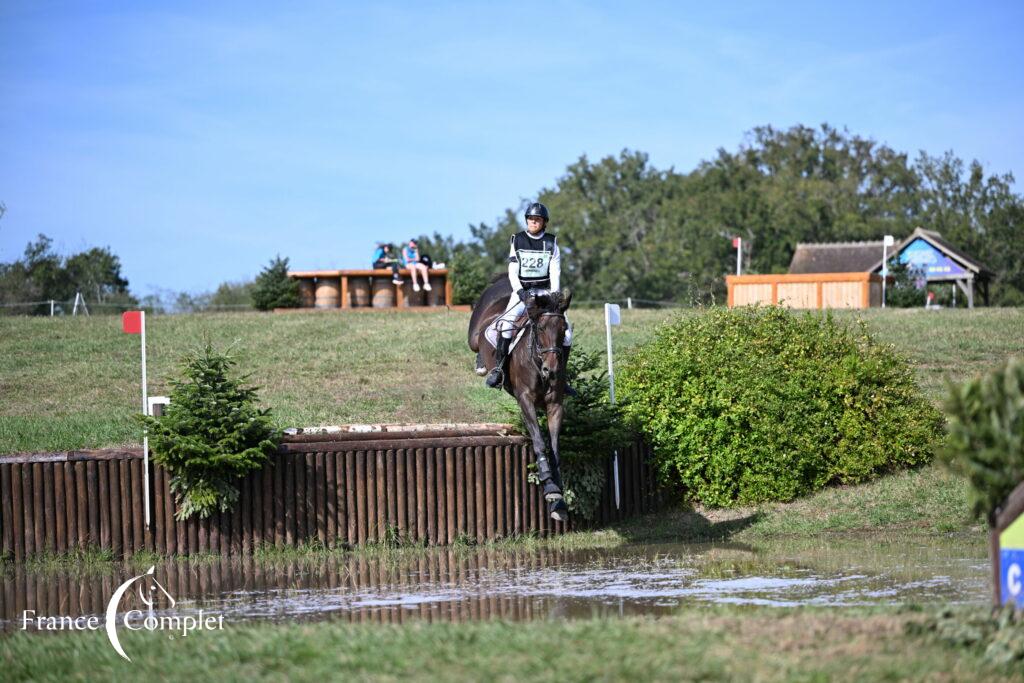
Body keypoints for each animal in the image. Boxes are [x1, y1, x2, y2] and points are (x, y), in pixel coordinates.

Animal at [468, 274, 573, 520]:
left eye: (563, 329)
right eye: (541, 328)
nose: (551, 371)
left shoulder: (555, 405)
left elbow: (554, 446)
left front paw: (559, 499)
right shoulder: (525, 400)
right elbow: (539, 441)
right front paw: (550, 486)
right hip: (475, 334)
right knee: (478, 342)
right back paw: (484, 368)